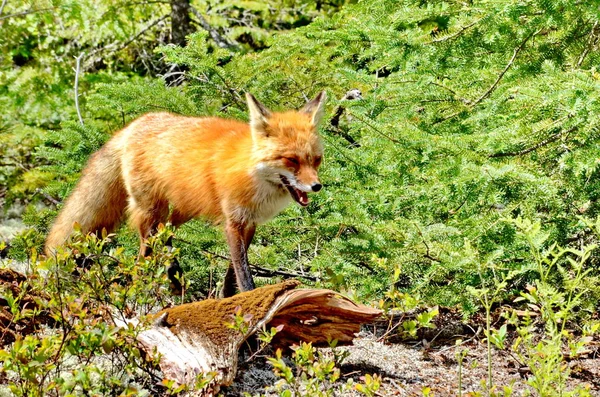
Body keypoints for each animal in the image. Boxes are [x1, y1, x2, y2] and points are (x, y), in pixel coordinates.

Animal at [44, 92, 326, 296]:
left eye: (316, 160)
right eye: (291, 160)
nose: (317, 186)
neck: (251, 173)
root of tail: (136, 123)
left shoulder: (249, 223)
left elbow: (232, 272)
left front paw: (227, 296)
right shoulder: (233, 221)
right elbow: (243, 271)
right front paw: (249, 296)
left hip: (180, 211)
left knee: (166, 238)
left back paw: (175, 279)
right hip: (151, 214)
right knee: (144, 256)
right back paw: (143, 288)